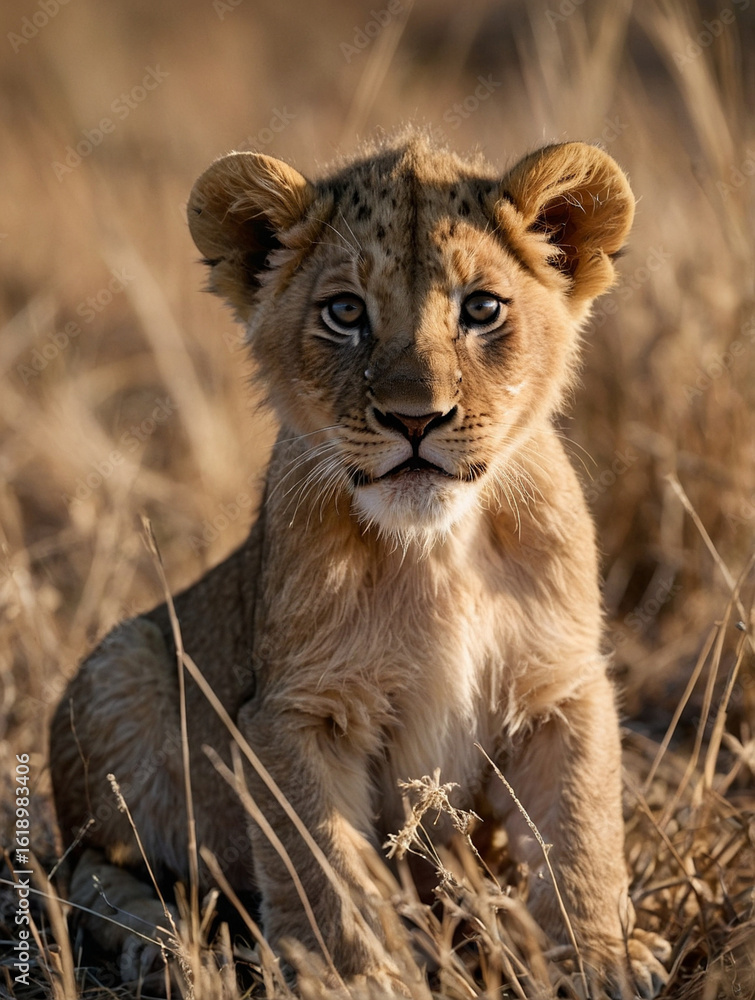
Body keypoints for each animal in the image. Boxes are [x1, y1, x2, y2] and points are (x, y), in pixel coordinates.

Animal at [50, 133, 670, 996]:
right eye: (344, 312)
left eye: (482, 308)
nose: (415, 418)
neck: (436, 550)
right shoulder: (294, 711)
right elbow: (323, 866)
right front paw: (357, 978)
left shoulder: (558, 686)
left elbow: (580, 832)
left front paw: (600, 960)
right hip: (120, 665)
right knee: (86, 869)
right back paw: (168, 946)